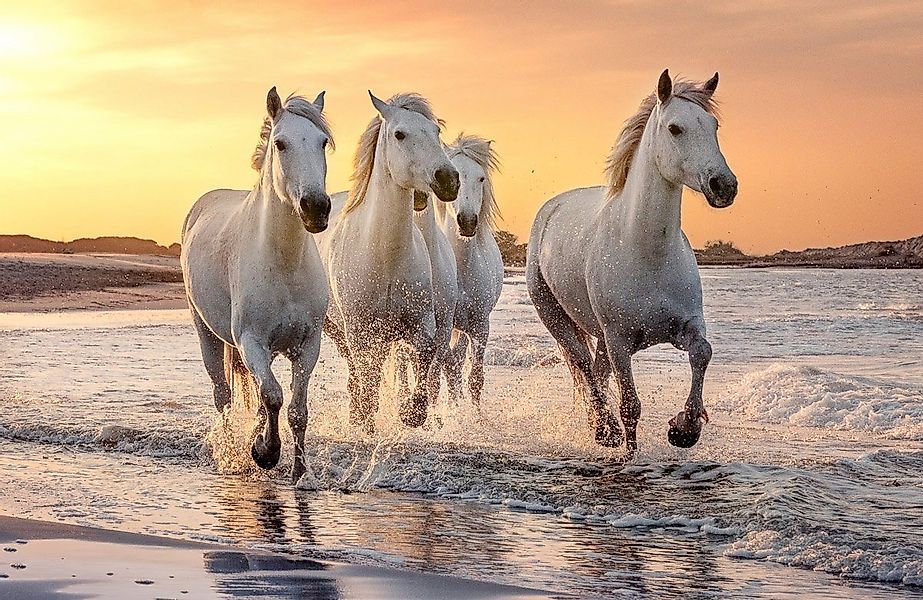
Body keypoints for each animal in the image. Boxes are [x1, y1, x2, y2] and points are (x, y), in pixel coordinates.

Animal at [181, 87, 333, 482]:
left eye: (323, 142)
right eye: (280, 143)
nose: (316, 207)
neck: (284, 263)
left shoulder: (307, 345)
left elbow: (296, 409)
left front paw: (299, 473)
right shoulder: (251, 341)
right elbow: (274, 396)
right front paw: (265, 452)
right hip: (207, 333)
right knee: (223, 396)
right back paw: (233, 454)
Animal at [315, 92, 459, 434]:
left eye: (436, 131)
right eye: (399, 134)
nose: (448, 179)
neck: (386, 257)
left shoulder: (422, 324)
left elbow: (425, 358)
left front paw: (411, 413)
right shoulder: (359, 330)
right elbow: (367, 376)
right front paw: (367, 419)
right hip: (338, 330)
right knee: (357, 371)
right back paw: (357, 416)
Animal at [435, 134, 504, 407]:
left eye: (481, 178)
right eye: (454, 175)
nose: (467, 222)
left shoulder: (480, 326)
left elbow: (475, 378)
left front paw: (472, 414)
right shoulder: (441, 327)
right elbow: (447, 371)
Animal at [526, 70, 737, 452]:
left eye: (713, 125)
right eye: (674, 128)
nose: (723, 185)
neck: (646, 252)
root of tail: (551, 208)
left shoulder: (685, 326)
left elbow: (702, 353)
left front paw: (685, 428)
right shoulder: (619, 341)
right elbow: (630, 407)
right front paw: (630, 450)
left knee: (596, 371)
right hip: (556, 317)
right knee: (584, 367)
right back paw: (604, 429)